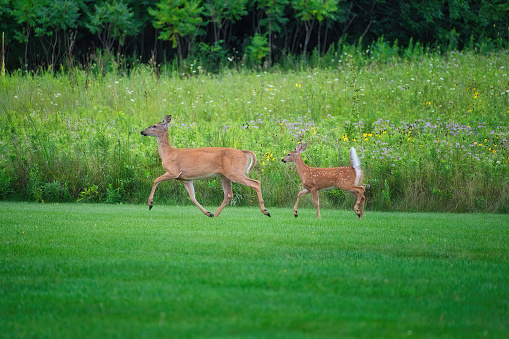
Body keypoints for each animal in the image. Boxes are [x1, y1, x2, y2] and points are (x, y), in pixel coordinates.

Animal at [139, 115, 270, 219]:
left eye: (154, 126)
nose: (142, 131)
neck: (168, 153)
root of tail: (243, 153)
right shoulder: (185, 179)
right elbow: (192, 197)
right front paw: (208, 212)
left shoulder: (173, 171)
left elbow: (156, 180)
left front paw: (150, 203)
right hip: (225, 176)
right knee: (228, 195)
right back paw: (215, 215)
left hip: (235, 172)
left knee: (256, 183)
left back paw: (266, 211)